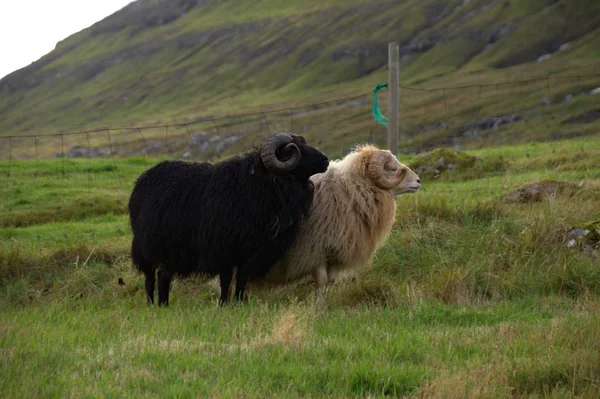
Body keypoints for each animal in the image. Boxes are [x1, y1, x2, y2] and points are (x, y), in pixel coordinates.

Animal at [126, 134, 328, 306]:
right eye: (297, 150)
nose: (326, 160)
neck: (262, 184)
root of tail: (141, 181)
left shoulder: (250, 251)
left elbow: (242, 278)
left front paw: (238, 303)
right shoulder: (224, 248)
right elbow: (226, 279)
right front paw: (223, 304)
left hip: (174, 250)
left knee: (164, 274)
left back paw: (164, 304)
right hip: (151, 246)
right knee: (151, 276)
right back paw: (152, 304)